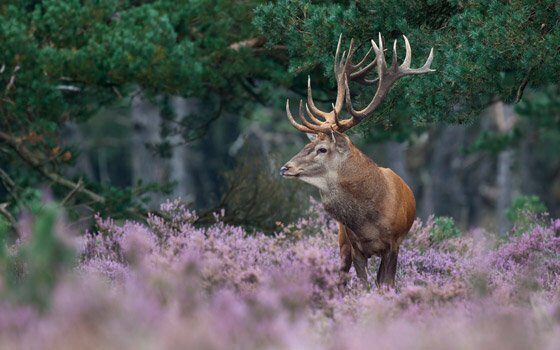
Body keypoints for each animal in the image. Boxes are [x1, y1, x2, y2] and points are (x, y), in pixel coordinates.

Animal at [280, 32, 434, 286]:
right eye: (306, 145)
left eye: (322, 149)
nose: (285, 167)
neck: (367, 222)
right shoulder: (354, 246)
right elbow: (364, 284)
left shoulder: (393, 244)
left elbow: (386, 284)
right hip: (342, 241)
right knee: (340, 278)